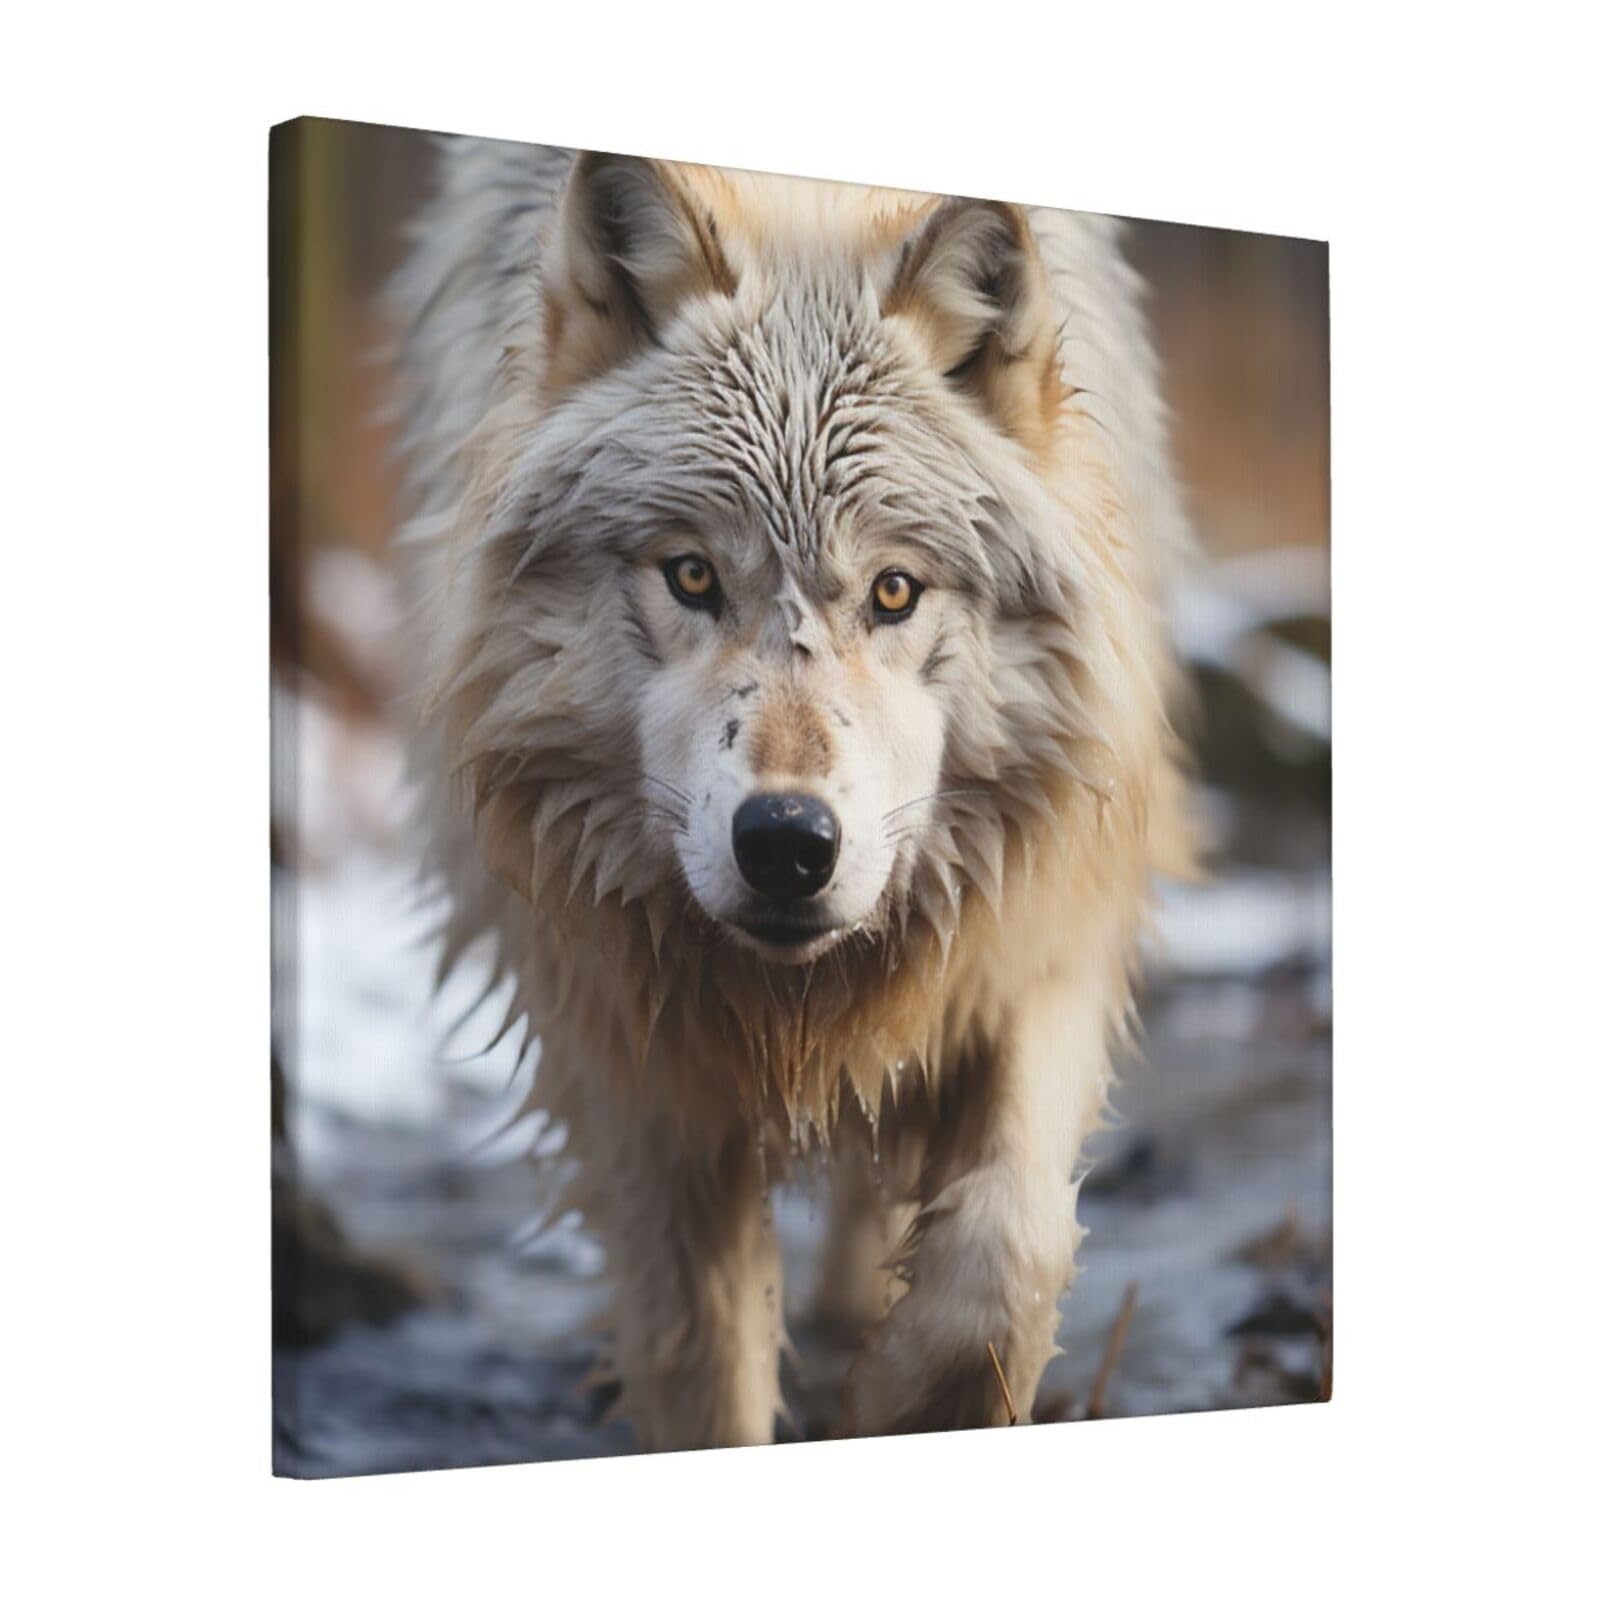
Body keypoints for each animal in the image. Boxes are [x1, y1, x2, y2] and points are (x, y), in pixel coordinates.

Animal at [390, 139, 1194, 1448]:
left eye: (893, 591)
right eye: (691, 575)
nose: (785, 843)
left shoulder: (1036, 919)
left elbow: (1003, 1254)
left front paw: (901, 1397)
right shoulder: (616, 1029)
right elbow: (699, 1354)